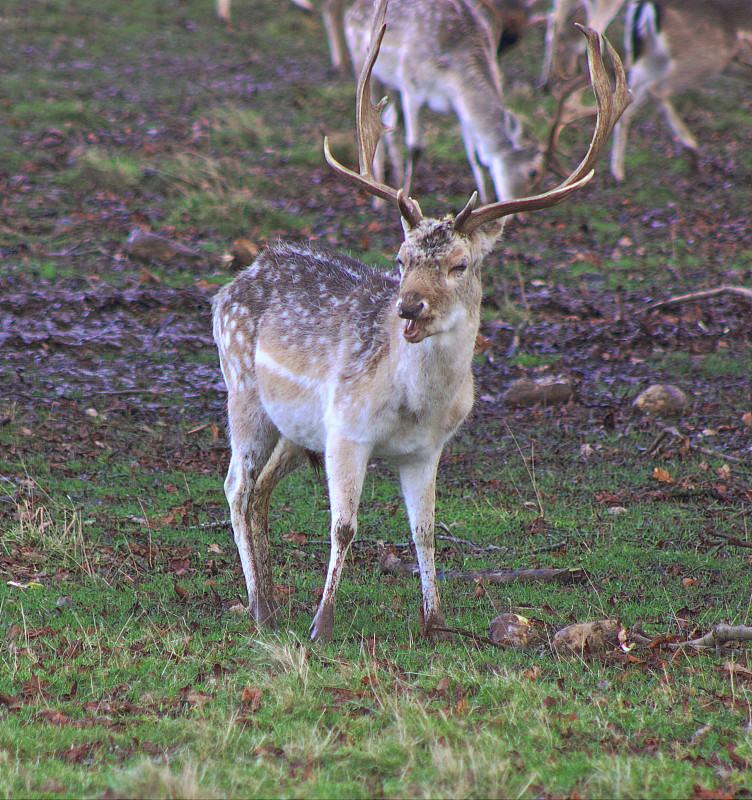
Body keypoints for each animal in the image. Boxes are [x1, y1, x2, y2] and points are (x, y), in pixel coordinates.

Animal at [344, 0, 544, 203]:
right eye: (532, 172)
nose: (522, 207)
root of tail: (351, 10)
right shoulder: (411, 85)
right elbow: (415, 148)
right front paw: (407, 195)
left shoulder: (459, 107)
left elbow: (474, 156)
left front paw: (483, 201)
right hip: (364, 65)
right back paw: (380, 201)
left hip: (392, 85)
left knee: (389, 119)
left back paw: (396, 180)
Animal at [612, 0, 752, 181]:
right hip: (701, 56)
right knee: (656, 90)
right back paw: (692, 152)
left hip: (653, 58)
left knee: (630, 96)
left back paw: (618, 173)